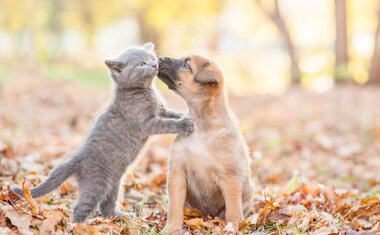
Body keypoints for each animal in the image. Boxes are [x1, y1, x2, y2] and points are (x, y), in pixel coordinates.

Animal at [12, 43, 193, 222]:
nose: (155, 64)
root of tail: (78, 158)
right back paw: (78, 226)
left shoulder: (161, 110)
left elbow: (170, 113)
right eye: (142, 64)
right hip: (98, 183)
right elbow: (166, 124)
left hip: (115, 182)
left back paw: (120, 216)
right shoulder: (147, 123)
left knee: (106, 205)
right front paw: (184, 124)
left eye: (153, 58)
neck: (144, 91)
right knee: (80, 207)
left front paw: (182, 114)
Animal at [159, 55, 254, 233]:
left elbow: (233, 210)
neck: (201, 128)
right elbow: (174, 208)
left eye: (186, 65)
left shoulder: (230, 178)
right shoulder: (177, 174)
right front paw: (171, 229)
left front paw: (232, 228)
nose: (160, 58)